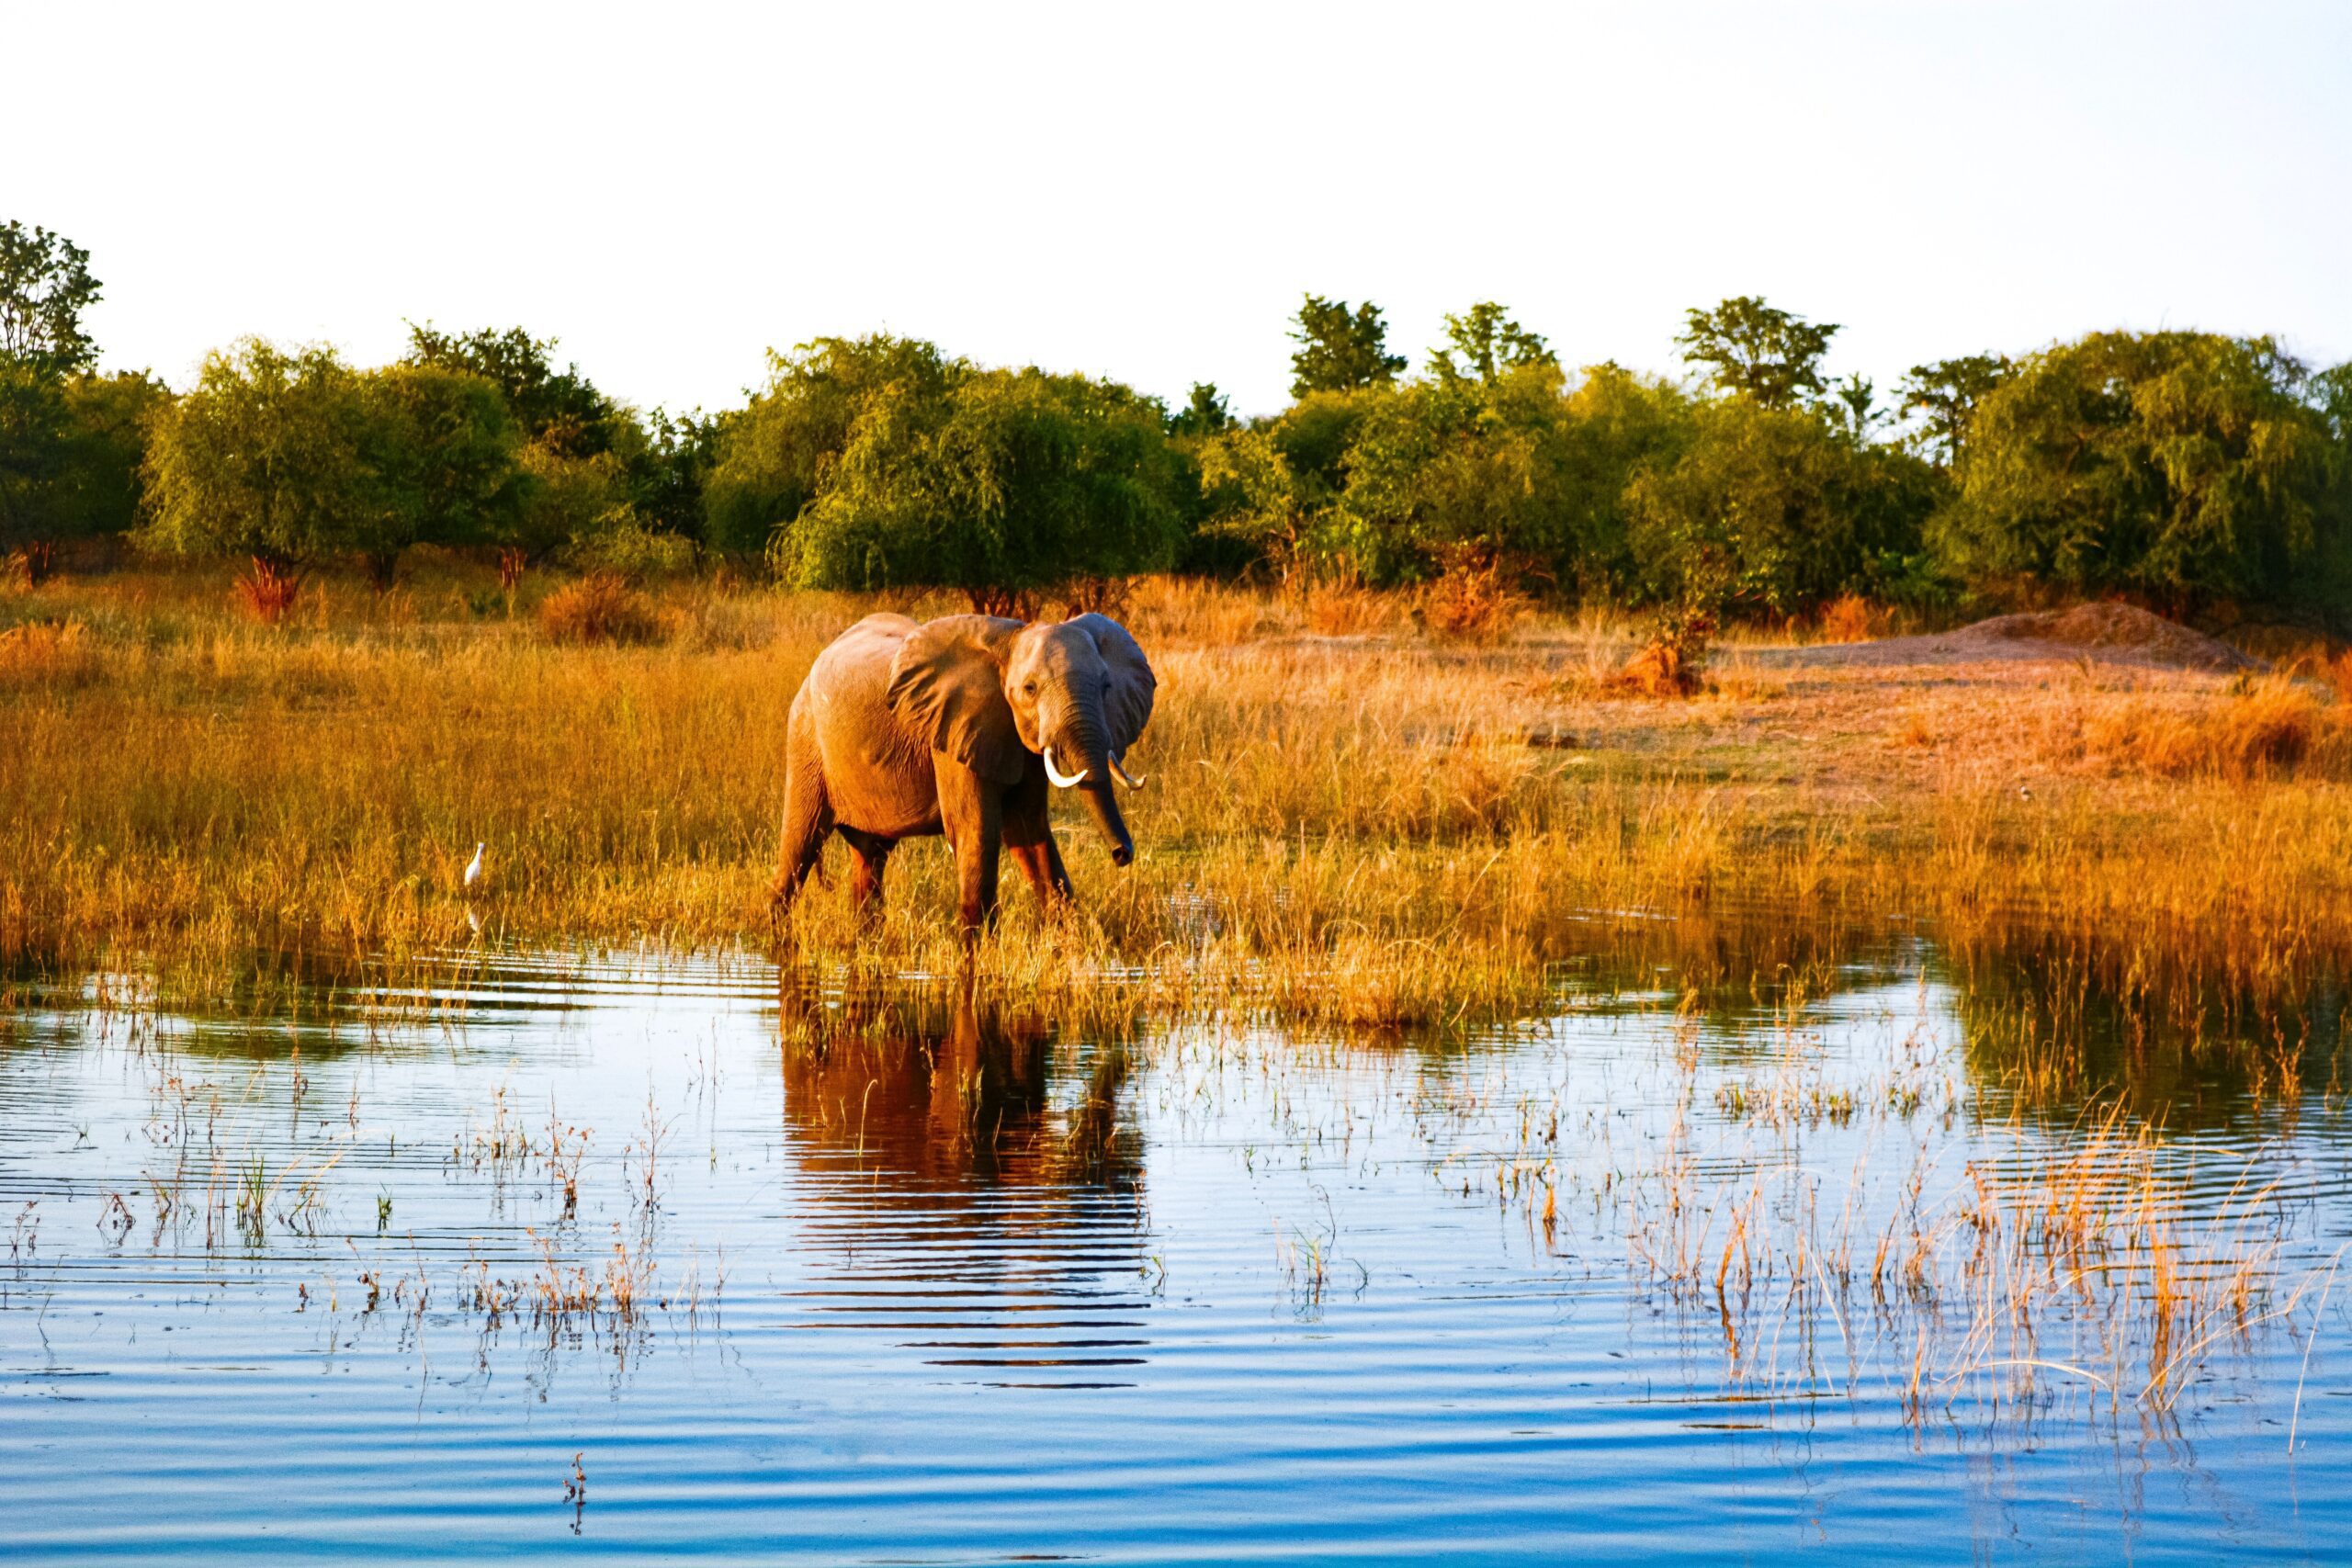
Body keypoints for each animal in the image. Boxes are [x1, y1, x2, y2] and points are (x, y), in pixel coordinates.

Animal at [771, 611, 1157, 931]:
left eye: (1107, 687)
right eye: (1030, 689)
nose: (1122, 854)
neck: (1010, 639)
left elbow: (1029, 831)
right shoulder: (954, 732)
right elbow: (976, 832)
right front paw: (978, 948)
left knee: (869, 858)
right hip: (806, 739)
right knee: (799, 848)